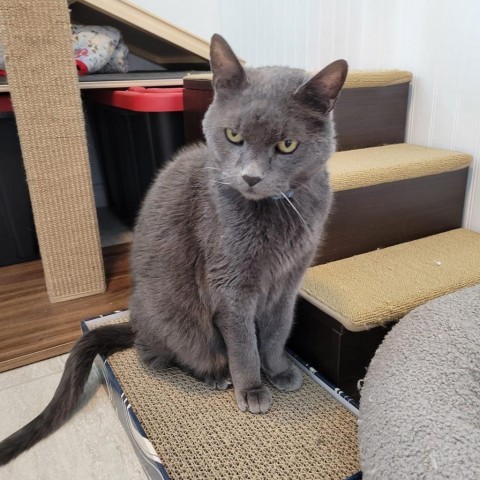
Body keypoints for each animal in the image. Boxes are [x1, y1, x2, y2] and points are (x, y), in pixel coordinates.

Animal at [0, 34, 346, 464]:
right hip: (177, 317)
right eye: (234, 136)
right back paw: (215, 374)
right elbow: (244, 345)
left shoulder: (289, 280)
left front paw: (279, 368)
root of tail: (135, 321)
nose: (250, 177)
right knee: (159, 355)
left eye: (287, 145)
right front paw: (252, 388)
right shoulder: (229, 285)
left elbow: (277, 332)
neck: (277, 215)